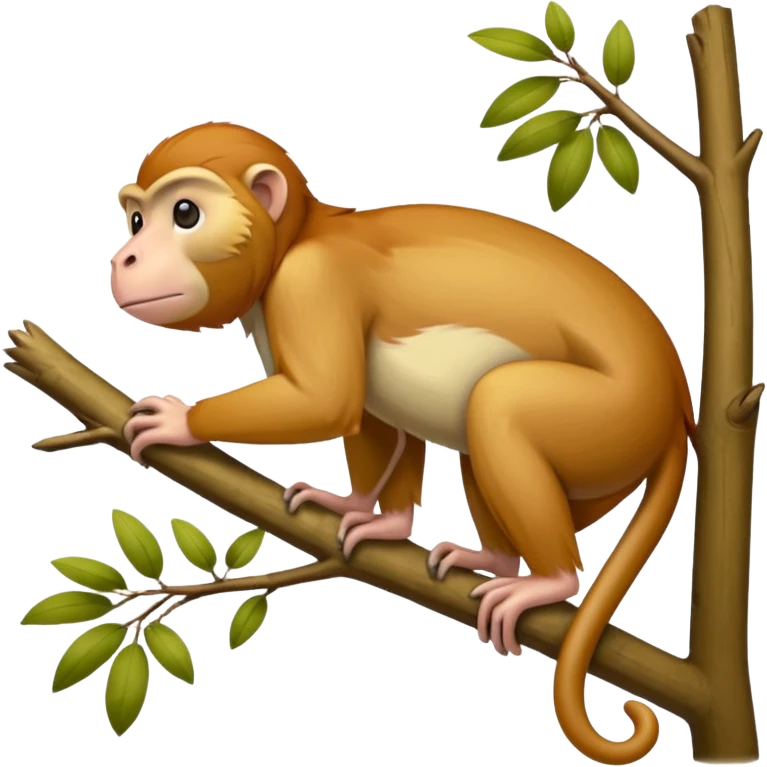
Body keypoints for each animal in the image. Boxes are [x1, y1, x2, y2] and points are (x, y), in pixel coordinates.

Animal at [112, 121, 695, 767]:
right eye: (136, 220)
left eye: (185, 214)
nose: (126, 256)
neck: (298, 236)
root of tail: (675, 400)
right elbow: (372, 418)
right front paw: (370, 515)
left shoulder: (311, 282)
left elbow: (325, 399)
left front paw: (179, 421)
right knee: (476, 433)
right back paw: (495, 562)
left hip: (616, 415)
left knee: (496, 404)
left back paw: (552, 582)